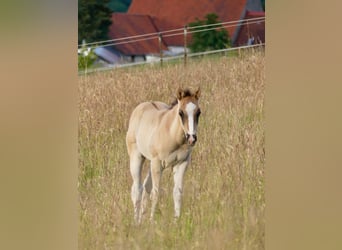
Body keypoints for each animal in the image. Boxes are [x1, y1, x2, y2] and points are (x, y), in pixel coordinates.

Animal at [125, 87, 200, 224]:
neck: (172, 134)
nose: (191, 138)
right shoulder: (157, 163)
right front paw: (151, 222)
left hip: (151, 163)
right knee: (138, 188)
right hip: (137, 158)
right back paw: (136, 221)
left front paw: (176, 222)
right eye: (181, 112)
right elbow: (156, 193)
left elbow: (177, 193)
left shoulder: (181, 164)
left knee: (145, 186)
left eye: (198, 112)